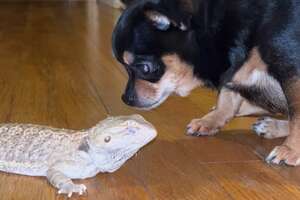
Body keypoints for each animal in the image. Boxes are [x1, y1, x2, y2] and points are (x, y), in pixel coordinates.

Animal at [111, 0, 300, 166]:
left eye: (145, 68)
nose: (125, 98)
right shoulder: (231, 71)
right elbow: (226, 99)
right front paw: (211, 121)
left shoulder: (292, 73)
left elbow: (297, 117)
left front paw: (291, 150)